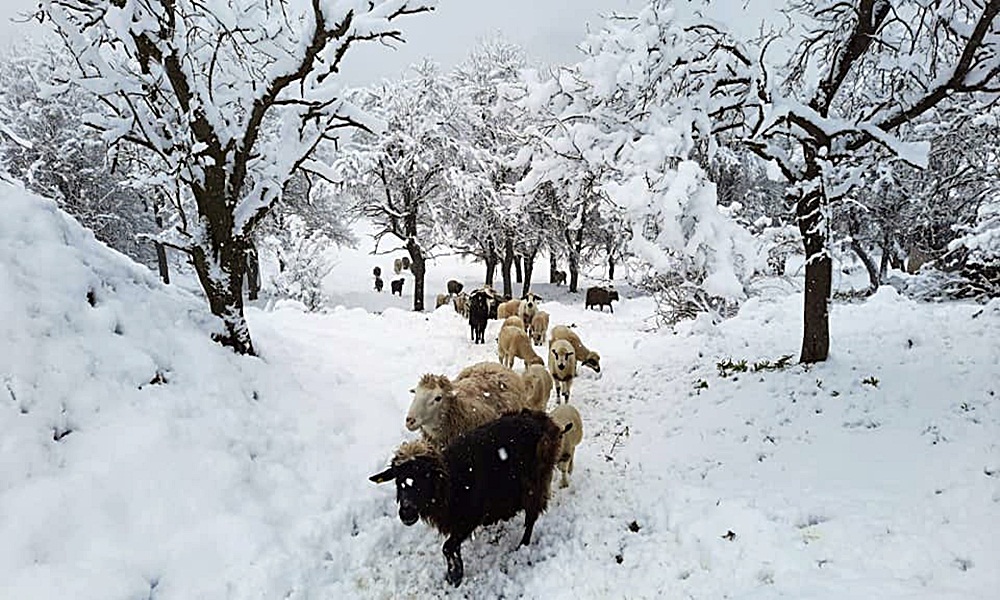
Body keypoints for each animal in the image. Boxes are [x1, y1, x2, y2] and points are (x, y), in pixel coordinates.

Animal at [370, 408, 572, 584]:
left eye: (425, 477)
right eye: (398, 480)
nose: (407, 514)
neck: (450, 485)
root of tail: (546, 420)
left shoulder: (469, 518)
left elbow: (448, 547)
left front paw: (455, 575)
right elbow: (452, 547)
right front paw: (455, 572)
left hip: (535, 482)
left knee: (531, 516)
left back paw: (522, 545)